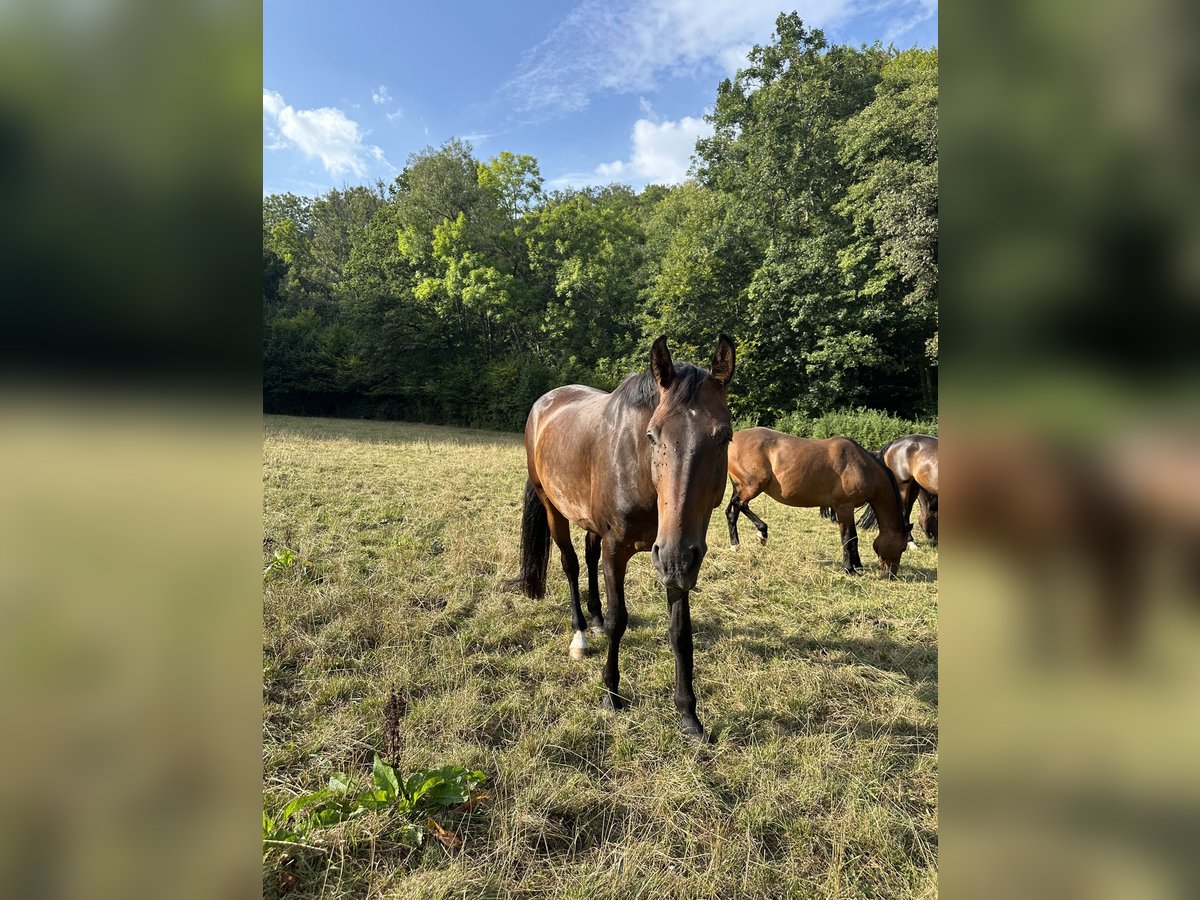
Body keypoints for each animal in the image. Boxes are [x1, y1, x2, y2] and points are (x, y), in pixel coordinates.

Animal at [511, 336, 734, 739]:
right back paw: (581, 634)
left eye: (724, 437)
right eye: (652, 434)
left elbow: (680, 631)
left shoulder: (676, 556)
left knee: (588, 556)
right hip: (554, 509)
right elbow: (620, 620)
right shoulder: (621, 550)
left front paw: (689, 714)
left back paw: (594, 618)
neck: (641, 473)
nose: (676, 558)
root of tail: (544, 403)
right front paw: (611, 695)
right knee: (570, 564)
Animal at [720, 432, 907, 578]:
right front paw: (850, 569)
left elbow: (853, 537)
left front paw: (857, 565)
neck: (860, 465)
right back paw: (762, 532)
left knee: (732, 511)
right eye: (903, 547)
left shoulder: (846, 509)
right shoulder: (844, 507)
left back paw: (735, 546)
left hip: (740, 487)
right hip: (752, 486)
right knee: (739, 504)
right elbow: (848, 537)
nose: (890, 575)